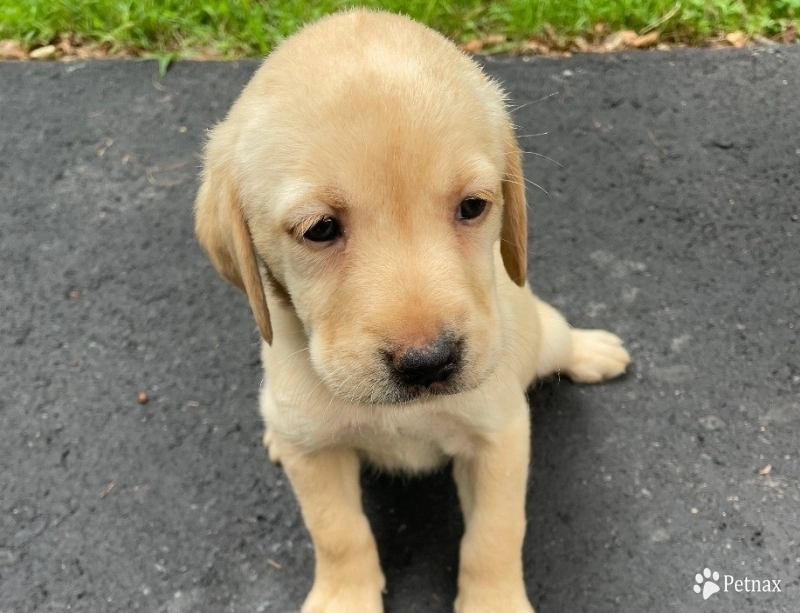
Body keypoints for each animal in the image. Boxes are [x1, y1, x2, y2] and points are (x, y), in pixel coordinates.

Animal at [195, 9, 632, 612]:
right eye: (320, 229)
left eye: (472, 206)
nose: (429, 363)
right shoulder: (315, 453)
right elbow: (337, 532)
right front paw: (345, 596)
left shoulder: (498, 435)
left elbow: (495, 533)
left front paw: (493, 601)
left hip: (541, 332)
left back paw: (594, 352)